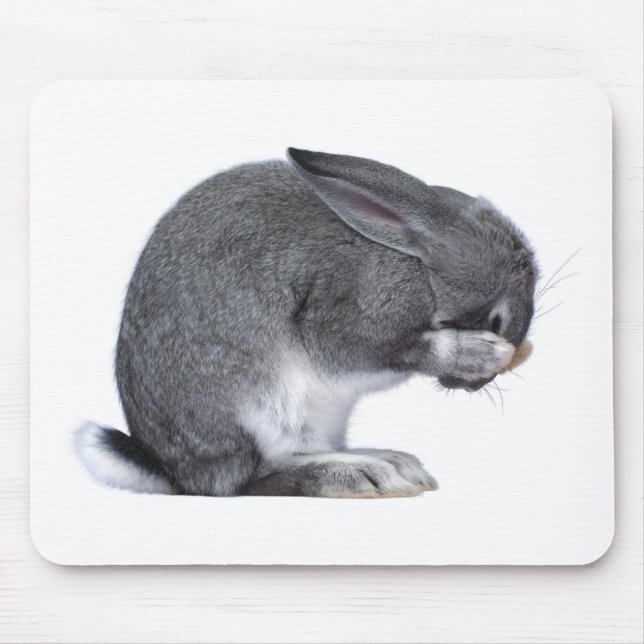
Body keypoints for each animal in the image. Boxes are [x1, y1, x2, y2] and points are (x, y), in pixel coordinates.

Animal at [75, 148, 537, 498]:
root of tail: (172, 470)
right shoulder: (349, 317)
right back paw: (361, 476)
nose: (472, 386)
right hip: (264, 403)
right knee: (250, 479)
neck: (416, 260)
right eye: (497, 319)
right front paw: (481, 353)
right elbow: (400, 347)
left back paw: (391, 462)